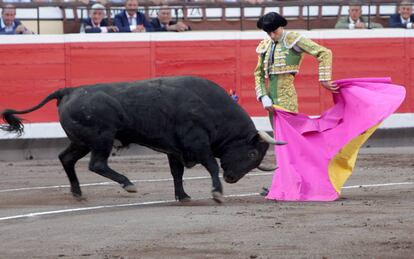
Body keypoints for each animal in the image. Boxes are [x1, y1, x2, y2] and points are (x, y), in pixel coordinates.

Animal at [0, 76, 284, 202]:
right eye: (251, 154)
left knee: (66, 158)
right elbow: (212, 165)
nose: (232, 178)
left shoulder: (174, 150)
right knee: (97, 164)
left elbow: (177, 173)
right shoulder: (197, 143)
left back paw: (78, 192)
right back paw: (128, 184)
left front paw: (183, 196)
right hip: (101, 139)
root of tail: (68, 90)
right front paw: (216, 192)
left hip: (81, 141)